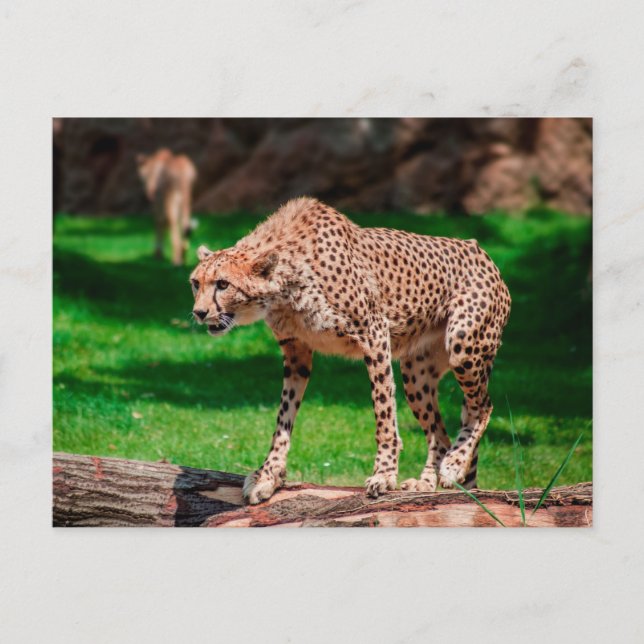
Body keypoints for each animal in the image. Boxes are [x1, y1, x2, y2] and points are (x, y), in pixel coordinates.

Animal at [189, 197, 511, 504]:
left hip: (463, 344)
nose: (199, 313)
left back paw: (454, 464)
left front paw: (384, 474)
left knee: (482, 406)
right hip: (417, 375)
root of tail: (477, 249)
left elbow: (383, 412)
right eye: (195, 283)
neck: (285, 287)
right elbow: (283, 417)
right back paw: (430, 480)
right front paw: (267, 475)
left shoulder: (375, 335)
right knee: (439, 433)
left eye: (223, 284)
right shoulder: (296, 353)